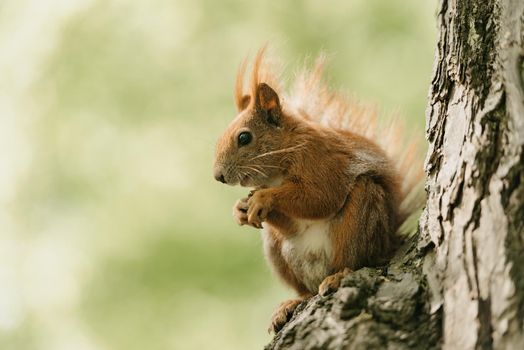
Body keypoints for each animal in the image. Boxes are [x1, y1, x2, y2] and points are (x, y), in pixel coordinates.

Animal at [212, 47, 422, 332]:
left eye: (244, 137)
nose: (218, 176)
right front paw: (239, 209)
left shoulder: (320, 159)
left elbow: (321, 197)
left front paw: (265, 199)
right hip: (278, 251)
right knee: (306, 290)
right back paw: (292, 302)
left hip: (361, 217)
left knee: (355, 261)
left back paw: (339, 276)